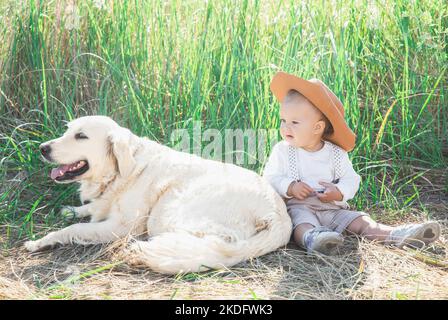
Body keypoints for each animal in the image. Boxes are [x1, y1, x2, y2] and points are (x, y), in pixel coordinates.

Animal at [24, 116, 292, 274]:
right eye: (67, 131)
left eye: (81, 136)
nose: (42, 148)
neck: (121, 172)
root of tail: (281, 217)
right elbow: (88, 210)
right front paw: (72, 210)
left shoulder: (123, 227)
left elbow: (75, 229)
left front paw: (41, 241)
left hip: (165, 214)